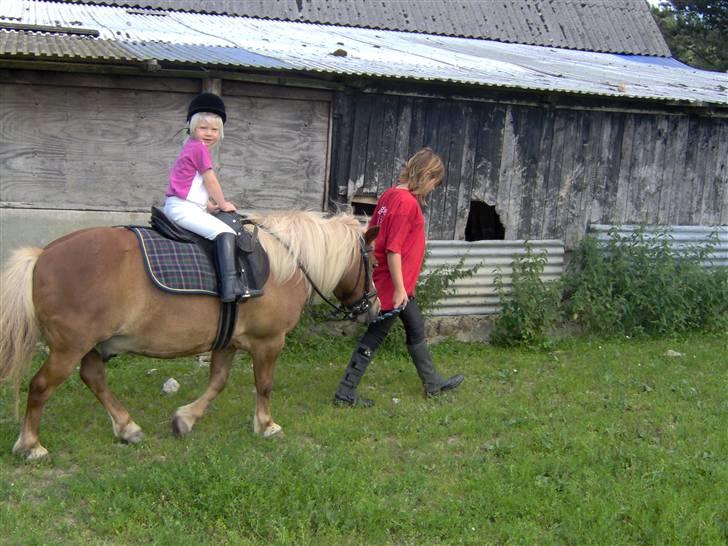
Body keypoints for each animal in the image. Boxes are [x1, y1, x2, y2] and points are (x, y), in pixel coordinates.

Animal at [1, 210, 382, 456]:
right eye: (374, 263)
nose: (375, 307)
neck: (282, 265)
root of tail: (43, 255)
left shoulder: (228, 342)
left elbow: (217, 383)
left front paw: (184, 420)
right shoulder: (268, 342)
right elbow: (264, 385)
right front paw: (266, 425)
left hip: (91, 345)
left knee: (93, 377)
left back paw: (127, 428)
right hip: (69, 347)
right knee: (40, 386)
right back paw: (31, 445)